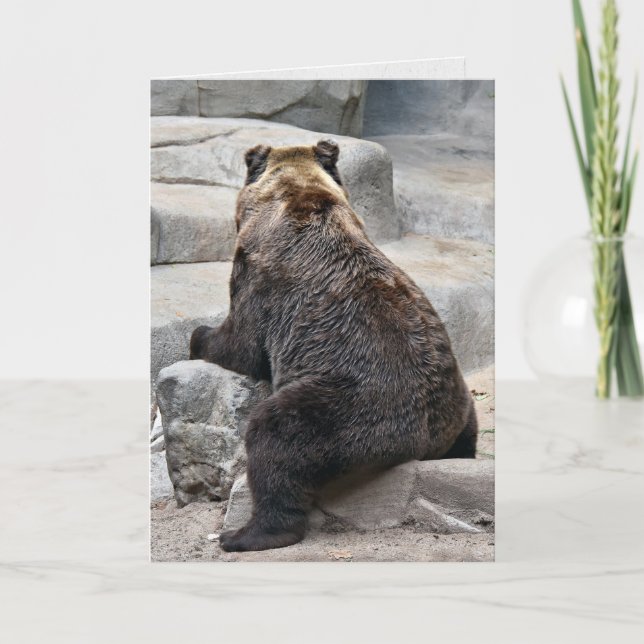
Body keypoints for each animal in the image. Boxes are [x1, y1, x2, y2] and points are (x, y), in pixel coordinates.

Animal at [189, 139, 477, 552]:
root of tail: (423, 441)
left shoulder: (260, 277)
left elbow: (242, 344)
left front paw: (198, 336)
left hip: (353, 405)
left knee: (276, 433)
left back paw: (247, 534)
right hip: (455, 397)